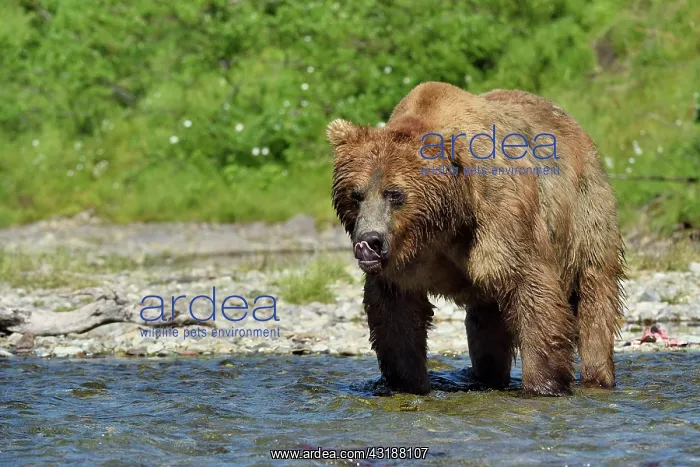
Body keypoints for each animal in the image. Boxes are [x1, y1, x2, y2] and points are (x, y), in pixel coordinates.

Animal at [327, 81, 625, 396]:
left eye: (394, 194)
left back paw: (597, 376)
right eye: (355, 195)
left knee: (595, 292)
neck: (444, 222)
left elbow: (533, 289)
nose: (368, 242)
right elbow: (396, 315)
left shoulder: (502, 217)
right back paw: (487, 377)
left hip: (585, 211)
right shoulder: (403, 263)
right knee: (486, 322)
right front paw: (407, 382)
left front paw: (545, 384)